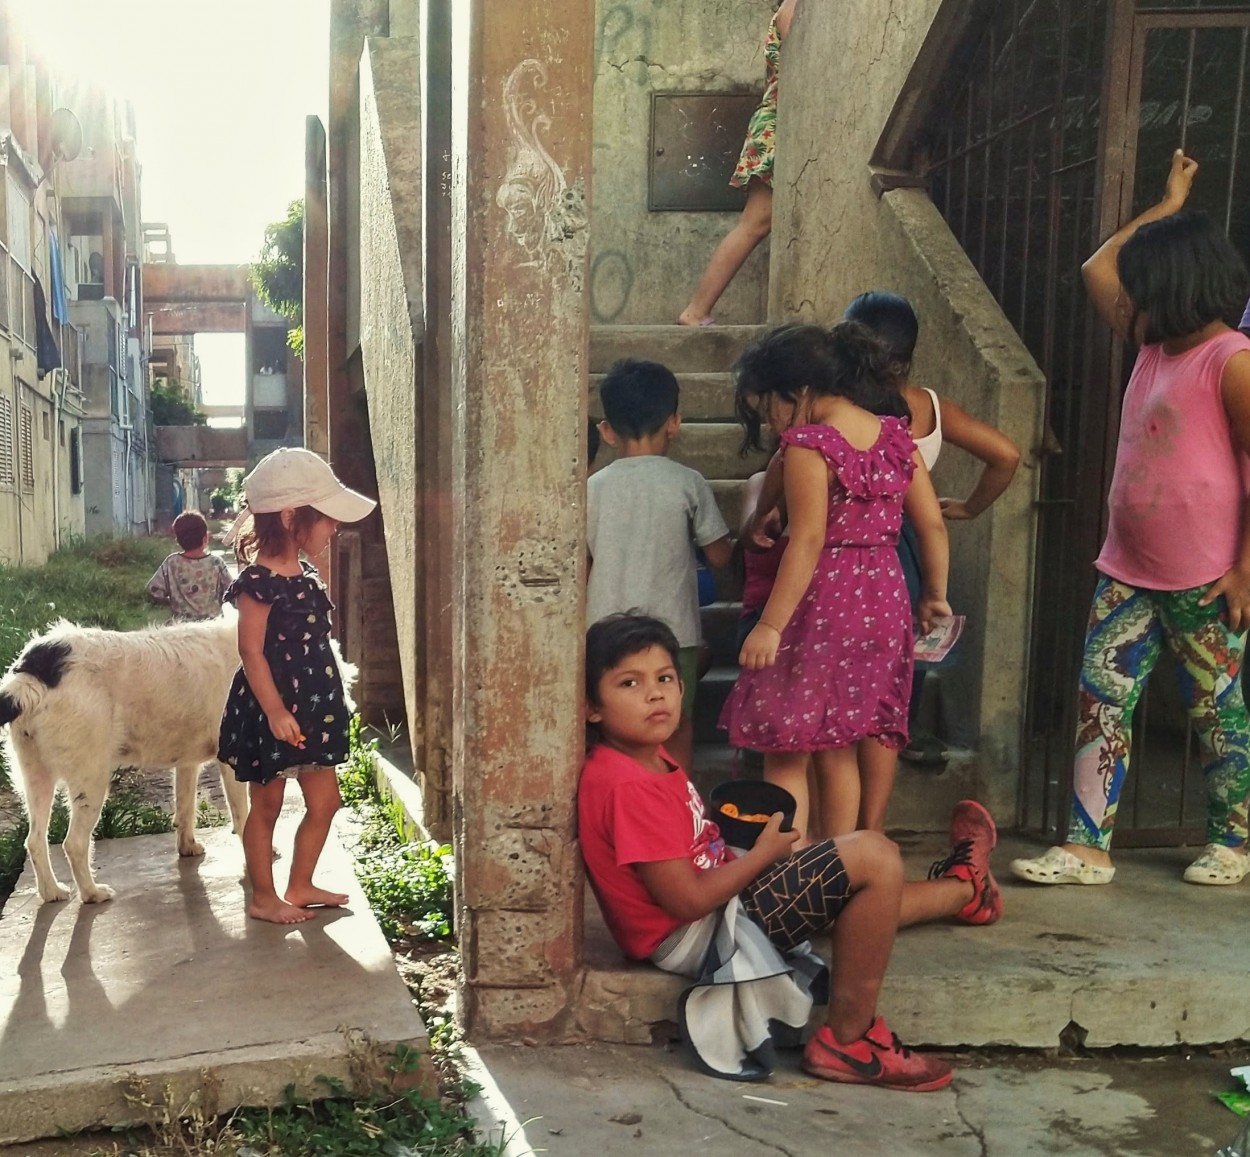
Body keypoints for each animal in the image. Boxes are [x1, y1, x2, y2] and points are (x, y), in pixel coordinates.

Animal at [0, 614, 248, 904]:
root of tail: (31, 674)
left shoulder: (187, 762)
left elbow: (185, 808)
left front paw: (187, 846)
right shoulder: (234, 759)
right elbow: (243, 816)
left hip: (36, 777)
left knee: (35, 840)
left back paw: (52, 892)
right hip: (91, 780)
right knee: (73, 843)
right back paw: (92, 893)